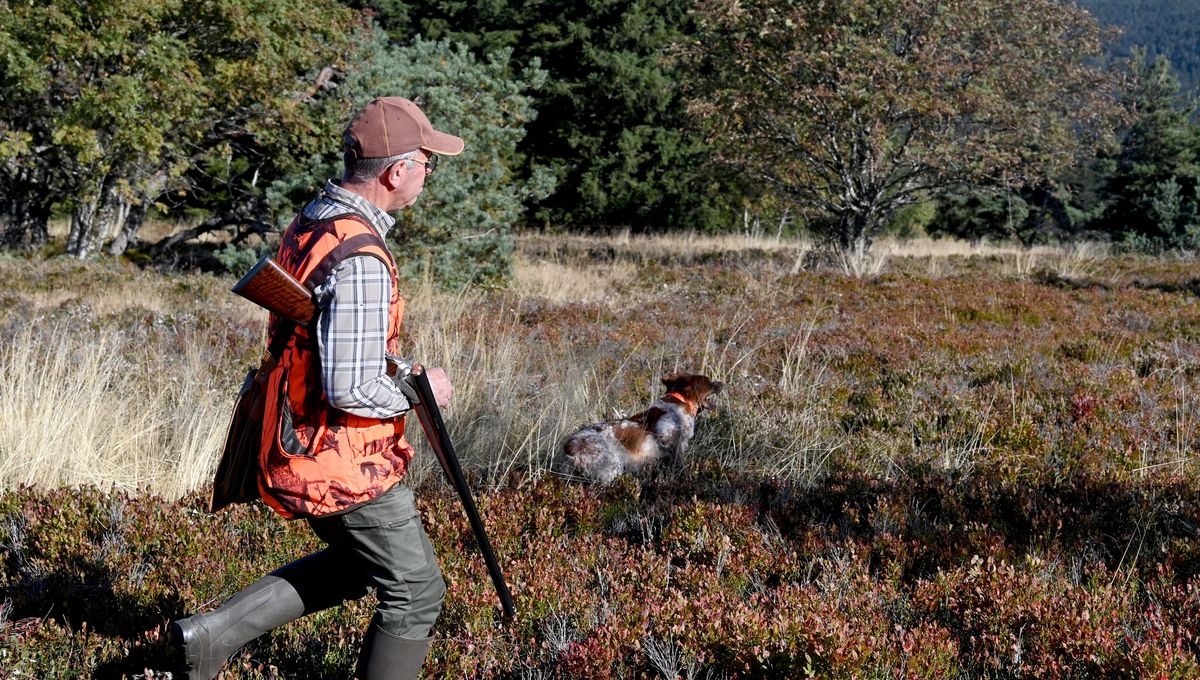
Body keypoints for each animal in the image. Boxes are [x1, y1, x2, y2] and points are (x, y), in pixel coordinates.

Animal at [552, 371, 720, 484]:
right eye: (708, 380)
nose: (721, 383)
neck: (680, 402)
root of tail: (570, 445)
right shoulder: (669, 440)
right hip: (610, 468)